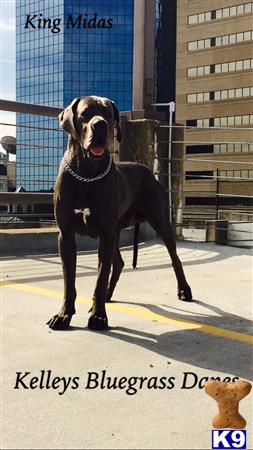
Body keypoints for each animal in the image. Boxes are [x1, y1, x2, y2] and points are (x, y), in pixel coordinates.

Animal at [46, 95, 193, 330]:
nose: (100, 125)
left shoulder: (105, 234)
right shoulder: (66, 234)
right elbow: (69, 280)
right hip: (115, 231)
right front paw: (64, 315)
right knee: (119, 263)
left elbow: (100, 277)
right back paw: (107, 295)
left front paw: (99, 317)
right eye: (85, 114)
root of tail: (146, 170)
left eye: (108, 114)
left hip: (158, 221)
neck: (86, 173)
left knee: (175, 258)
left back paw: (184, 289)